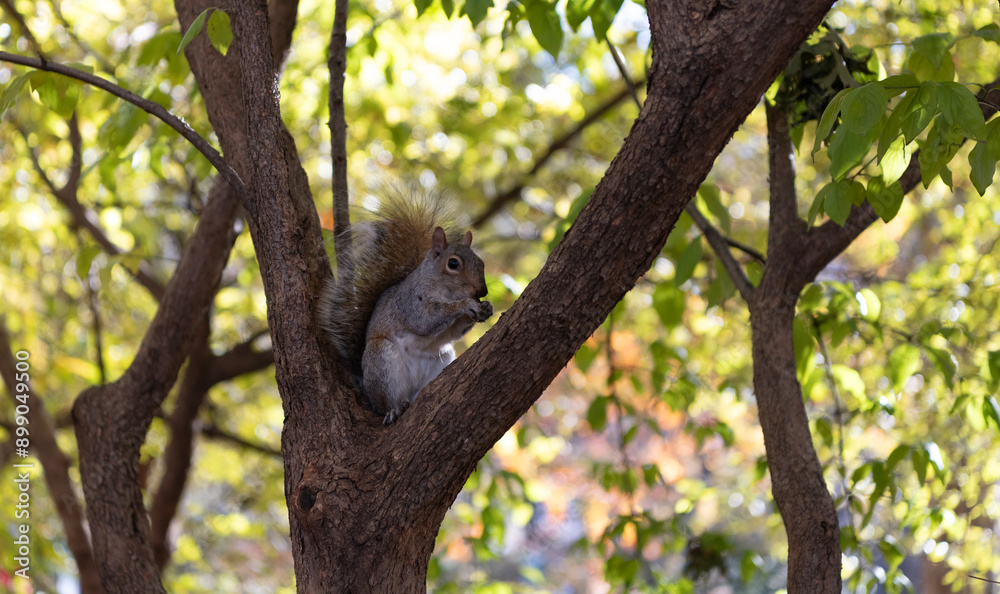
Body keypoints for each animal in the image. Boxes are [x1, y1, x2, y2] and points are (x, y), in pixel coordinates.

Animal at [318, 187, 493, 424]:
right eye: (453, 263)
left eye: (481, 262)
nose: (482, 291)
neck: (445, 291)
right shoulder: (410, 302)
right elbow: (425, 321)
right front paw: (465, 305)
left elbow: (454, 332)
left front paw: (486, 308)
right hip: (383, 361)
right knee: (385, 403)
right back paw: (393, 409)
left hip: (440, 361)